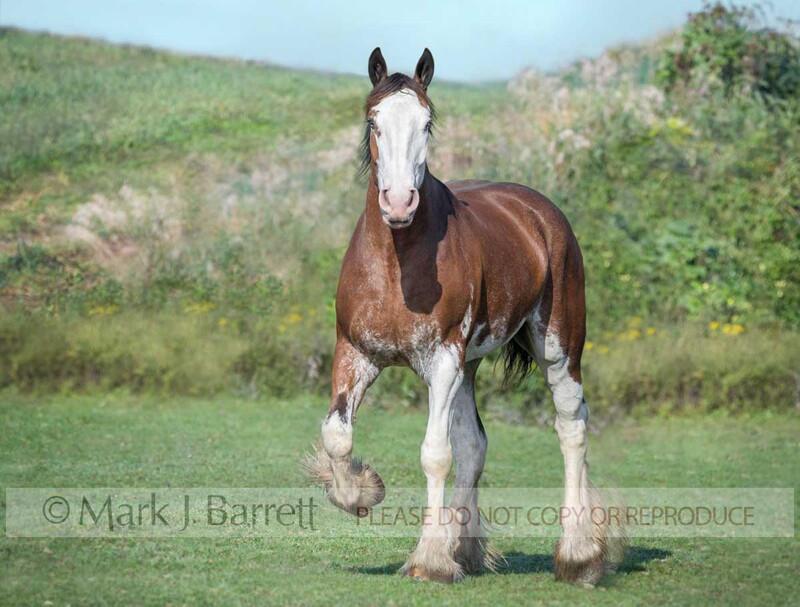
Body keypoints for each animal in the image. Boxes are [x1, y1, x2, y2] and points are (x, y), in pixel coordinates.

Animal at [305, 47, 623, 585]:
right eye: (373, 121)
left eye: (427, 122)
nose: (398, 202)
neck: (397, 264)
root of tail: (540, 213)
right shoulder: (355, 354)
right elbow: (338, 436)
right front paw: (361, 491)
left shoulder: (442, 362)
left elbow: (435, 454)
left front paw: (429, 560)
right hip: (469, 368)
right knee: (475, 444)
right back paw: (467, 550)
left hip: (557, 349)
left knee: (571, 427)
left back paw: (578, 555)